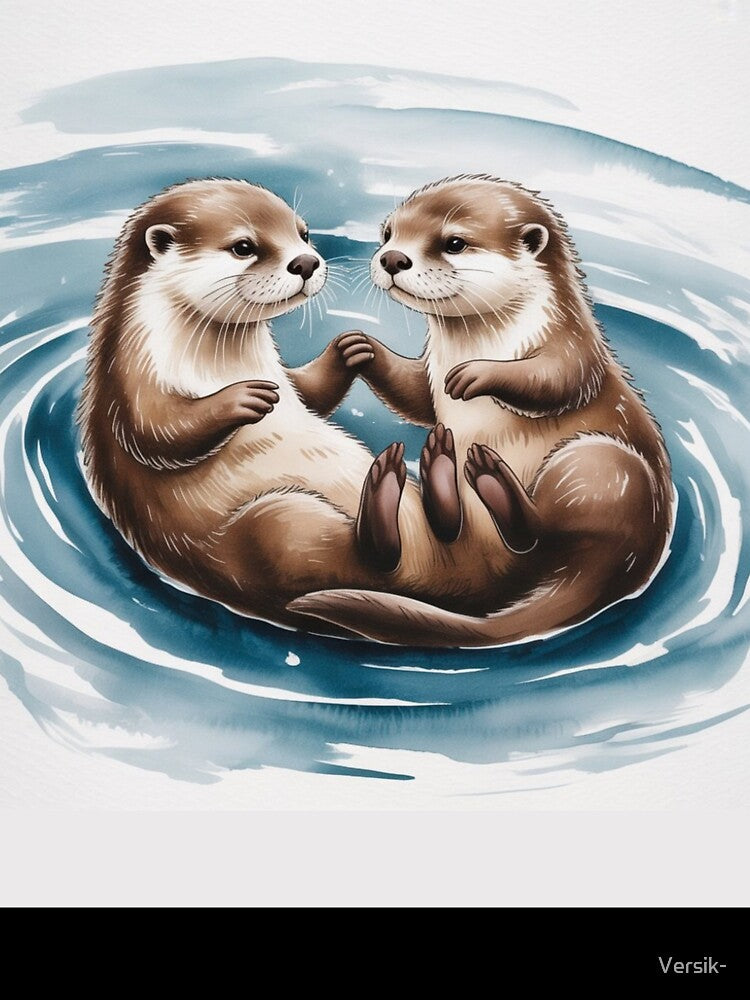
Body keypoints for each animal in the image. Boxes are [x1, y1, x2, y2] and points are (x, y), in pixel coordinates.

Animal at [289, 175, 674, 645]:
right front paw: (361, 348)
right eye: (388, 233)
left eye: (454, 242)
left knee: (544, 534)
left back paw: (493, 481)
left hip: (602, 468)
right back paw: (442, 474)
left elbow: (555, 381)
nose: (392, 258)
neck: (484, 341)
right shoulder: (431, 369)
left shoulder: (573, 346)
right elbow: (417, 395)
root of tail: (632, 561)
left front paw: (476, 375)